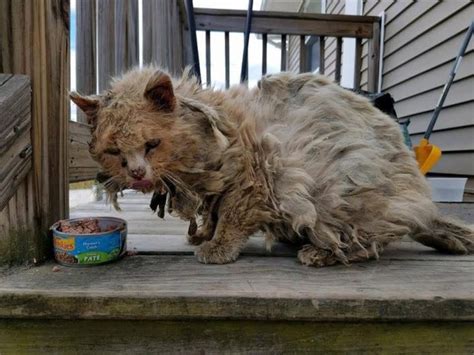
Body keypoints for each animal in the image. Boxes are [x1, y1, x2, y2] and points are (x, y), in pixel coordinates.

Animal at [70, 67, 474, 268]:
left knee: (369, 241)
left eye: (152, 145)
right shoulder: (219, 189)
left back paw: (319, 253)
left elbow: (230, 219)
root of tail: (423, 206)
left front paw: (217, 249)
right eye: (113, 151)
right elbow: (212, 214)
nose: (137, 173)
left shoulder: (253, 181)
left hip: (342, 192)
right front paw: (202, 236)